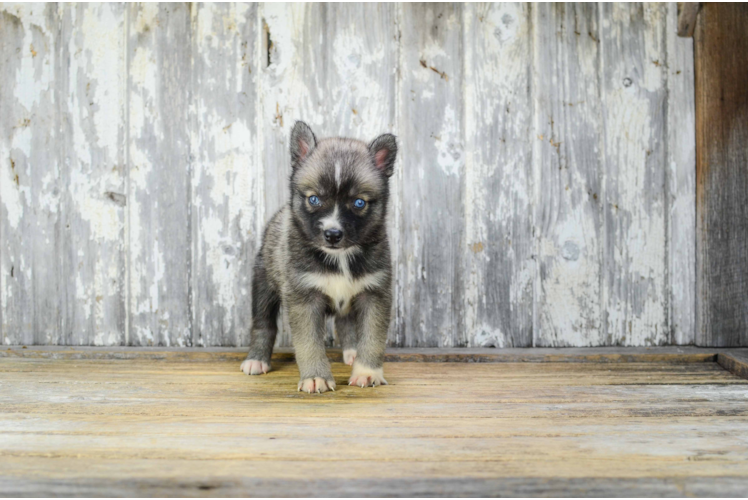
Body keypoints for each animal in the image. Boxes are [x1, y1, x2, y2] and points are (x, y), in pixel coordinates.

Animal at [243, 122, 400, 394]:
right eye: (314, 199)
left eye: (359, 202)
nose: (333, 234)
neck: (340, 257)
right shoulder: (303, 297)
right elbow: (309, 342)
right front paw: (316, 376)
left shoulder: (375, 293)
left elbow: (373, 337)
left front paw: (367, 371)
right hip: (264, 284)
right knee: (263, 324)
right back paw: (257, 359)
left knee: (346, 323)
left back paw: (352, 353)